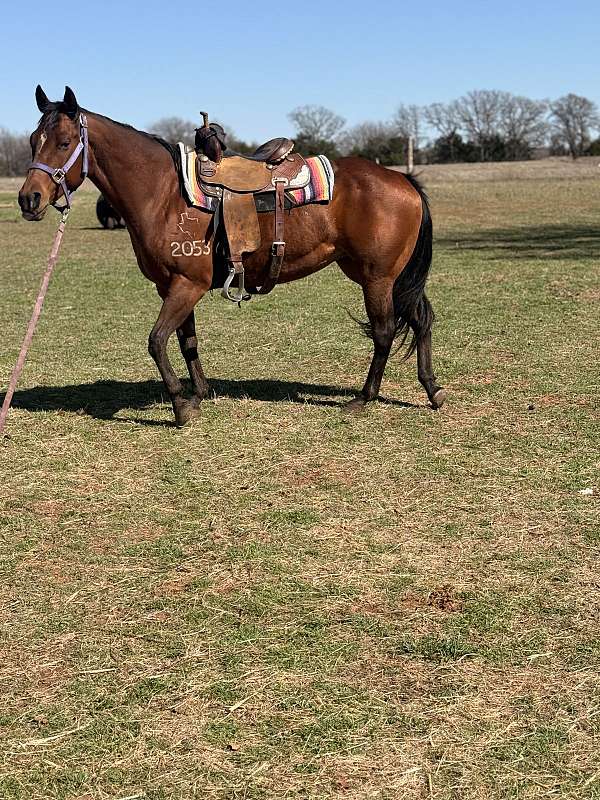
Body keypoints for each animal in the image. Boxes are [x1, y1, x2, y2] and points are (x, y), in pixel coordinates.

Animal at [18, 86, 446, 427]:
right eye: (34, 139)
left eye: (63, 142)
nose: (29, 199)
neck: (164, 194)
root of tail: (402, 178)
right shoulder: (172, 287)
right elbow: (186, 340)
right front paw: (199, 393)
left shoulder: (187, 285)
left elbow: (157, 341)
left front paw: (180, 406)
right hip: (390, 277)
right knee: (421, 320)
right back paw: (432, 389)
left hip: (378, 278)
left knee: (385, 332)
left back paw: (363, 398)